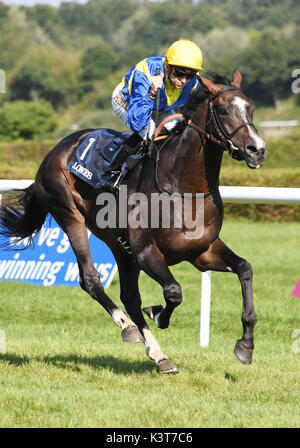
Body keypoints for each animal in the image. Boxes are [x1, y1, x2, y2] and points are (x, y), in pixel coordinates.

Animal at [0, 71, 268, 374]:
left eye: (250, 108)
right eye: (222, 110)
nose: (257, 150)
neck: (183, 186)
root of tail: (56, 148)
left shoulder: (202, 251)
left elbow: (244, 269)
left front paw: (246, 345)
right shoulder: (146, 251)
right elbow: (173, 291)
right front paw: (158, 314)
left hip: (119, 246)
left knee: (129, 295)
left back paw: (158, 354)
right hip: (68, 213)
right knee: (91, 279)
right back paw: (129, 328)